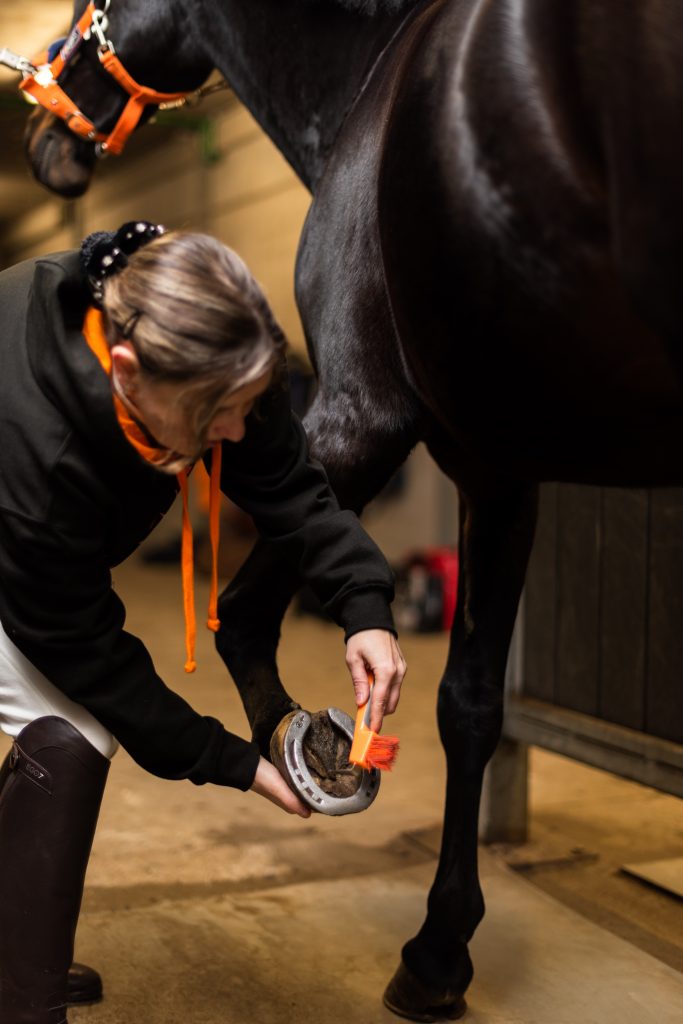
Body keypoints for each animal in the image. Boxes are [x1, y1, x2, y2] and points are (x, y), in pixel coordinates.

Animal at [21, 0, 683, 1019]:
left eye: (94, 4)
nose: (42, 141)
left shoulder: (352, 423)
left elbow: (245, 613)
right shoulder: (499, 469)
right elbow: (471, 705)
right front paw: (442, 952)